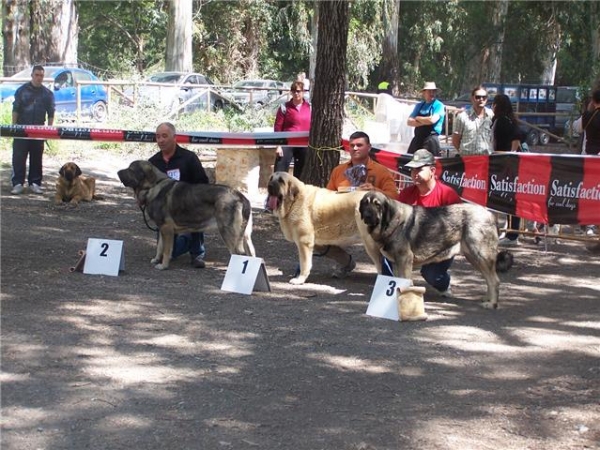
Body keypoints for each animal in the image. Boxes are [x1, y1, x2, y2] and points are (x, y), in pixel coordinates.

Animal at [118, 160, 255, 268]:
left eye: (131, 169)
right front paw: (157, 259)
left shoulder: (166, 229)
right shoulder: (161, 229)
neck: (153, 186)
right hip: (246, 236)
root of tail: (239, 195)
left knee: (237, 254)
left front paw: (163, 265)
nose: (118, 172)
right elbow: (160, 247)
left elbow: (166, 250)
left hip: (228, 233)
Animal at [358, 190, 512, 310]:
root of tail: (490, 215)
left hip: (480, 255)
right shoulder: (396, 262)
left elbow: (405, 281)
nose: (367, 215)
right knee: (489, 279)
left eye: (377, 205)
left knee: (494, 280)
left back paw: (492, 304)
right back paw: (487, 298)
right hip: (474, 257)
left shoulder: (404, 259)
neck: (390, 222)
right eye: (365, 203)